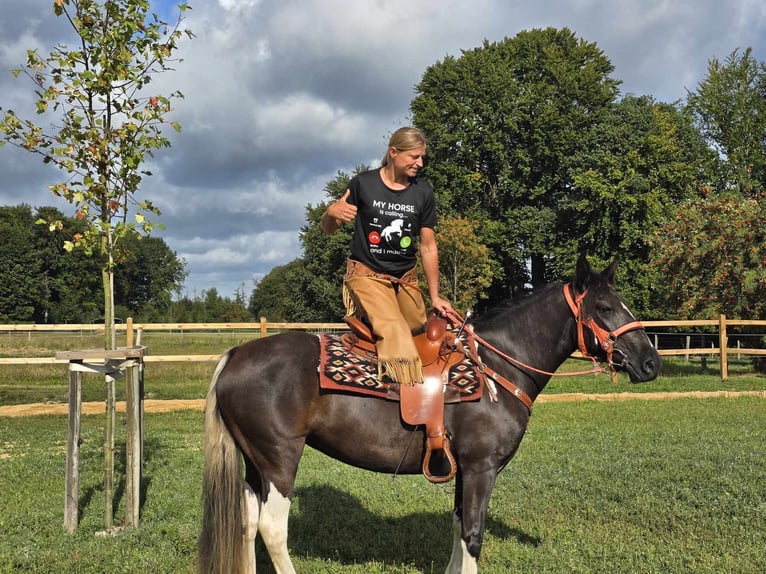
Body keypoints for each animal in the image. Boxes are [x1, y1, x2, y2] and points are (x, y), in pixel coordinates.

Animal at [201, 258, 664, 574]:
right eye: (604, 308)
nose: (651, 363)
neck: (498, 366)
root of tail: (236, 354)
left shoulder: (465, 470)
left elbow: (458, 528)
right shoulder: (481, 468)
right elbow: (473, 534)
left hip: (255, 465)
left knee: (246, 524)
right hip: (280, 460)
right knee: (271, 529)